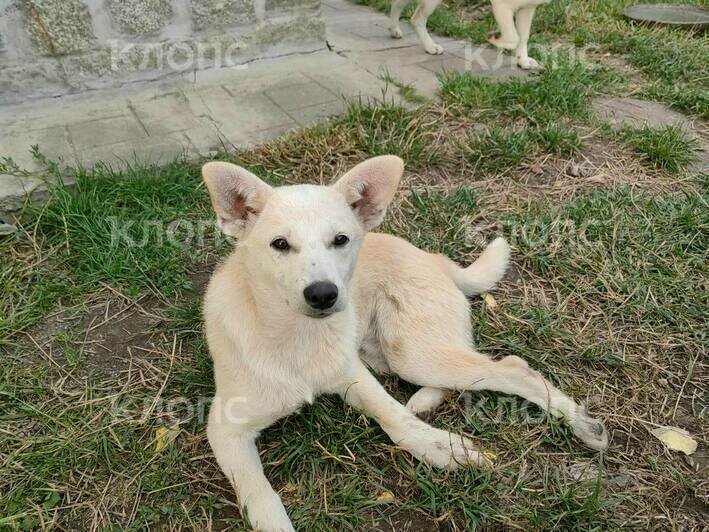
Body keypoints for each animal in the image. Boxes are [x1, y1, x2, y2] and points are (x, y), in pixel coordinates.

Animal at [201, 155, 608, 532]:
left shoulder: (354, 376)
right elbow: (261, 494)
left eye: (340, 240)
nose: (323, 295)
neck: (298, 339)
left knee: (512, 368)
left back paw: (582, 424)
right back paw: (427, 400)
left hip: (410, 354)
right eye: (280, 244)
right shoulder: (225, 428)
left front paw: (441, 448)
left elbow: (395, 418)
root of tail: (435, 259)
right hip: (386, 355)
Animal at [390, 0, 552, 69]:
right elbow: (514, 38)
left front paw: (522, 61)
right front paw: (494, 38)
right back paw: (430, 46)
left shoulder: (527, 8)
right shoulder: (502, 6)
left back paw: (394, 29)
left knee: (397, 5)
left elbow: (523, 37)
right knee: (417, 19)